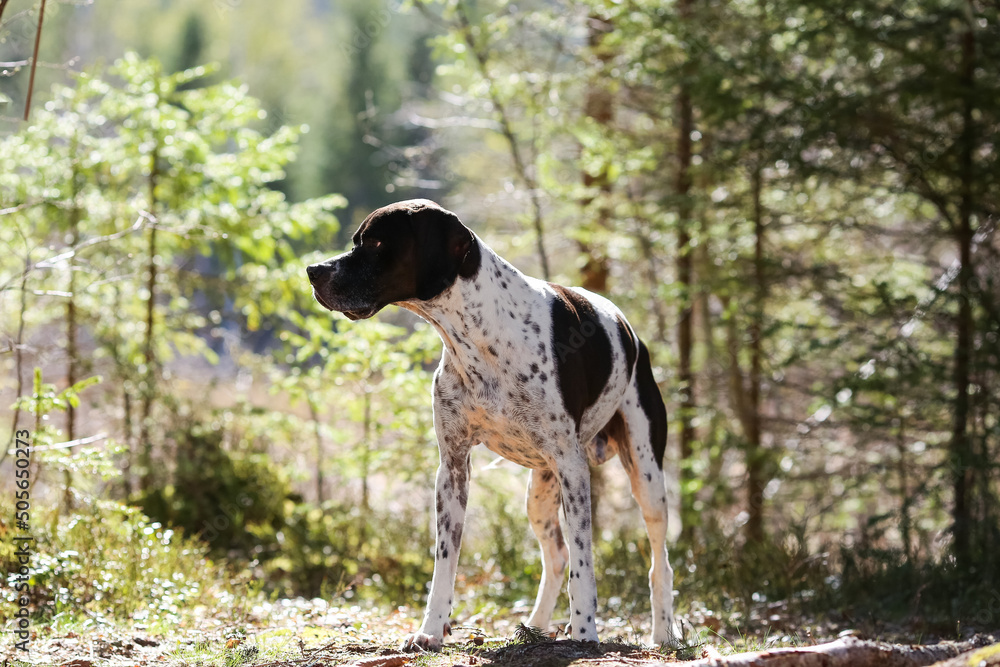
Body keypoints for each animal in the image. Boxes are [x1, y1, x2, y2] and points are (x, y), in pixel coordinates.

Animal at [306, 200, 680, 652]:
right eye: (356, 241)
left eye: (376, 243)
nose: (313, 271)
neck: (479, 338)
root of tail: (632, 334)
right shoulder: (452, 468)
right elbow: (445, 561)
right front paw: (431, 629)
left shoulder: (574, 470)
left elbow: (585, 564)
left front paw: (586, 633)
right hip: (539, 495)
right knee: (556, 558)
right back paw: (535, 627)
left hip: (646, 478)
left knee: (659, 564)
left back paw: (662, 635)